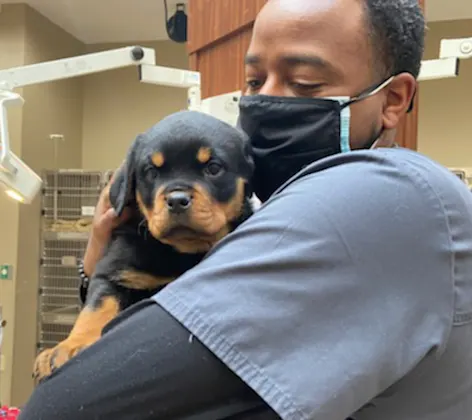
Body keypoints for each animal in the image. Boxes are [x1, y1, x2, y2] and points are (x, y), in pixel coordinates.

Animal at [33, 109, 254, 384]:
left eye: (213, 168)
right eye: (151, 172)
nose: (177, 200)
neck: (180, 251)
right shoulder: (113, 271)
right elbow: (96, 309)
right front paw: (69, 347)